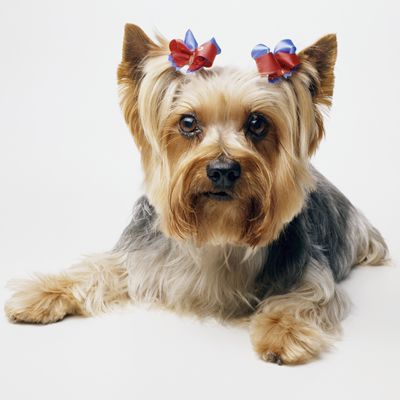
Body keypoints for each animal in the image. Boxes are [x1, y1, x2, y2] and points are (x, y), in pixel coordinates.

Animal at [4, 23, 390, 364]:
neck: (217, 231)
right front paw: (41, 294)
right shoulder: (138, 256)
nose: (222, 170)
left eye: (257, 123)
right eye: (188, 123)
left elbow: (303, 300)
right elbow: (96, 269)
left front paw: (283, 334)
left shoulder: (309, 272)